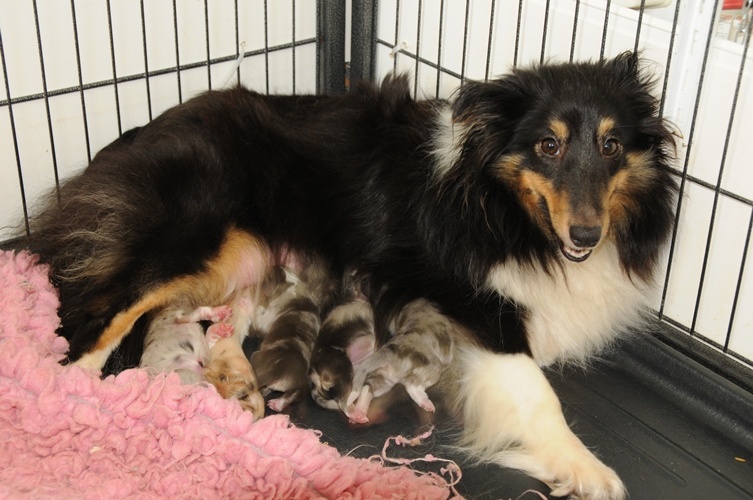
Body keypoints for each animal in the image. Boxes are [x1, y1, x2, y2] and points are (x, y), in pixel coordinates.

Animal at [27, 51, 676, 500]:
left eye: (612, 145)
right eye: (547, 145)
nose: (586, 236)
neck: (502, 206)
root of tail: (133, 138)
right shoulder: (474, 305)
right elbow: (538, 394)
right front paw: (589, 469)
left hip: (244, 258)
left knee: (211, 317)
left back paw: (237, 381)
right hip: (196, 236)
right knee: (100, 320)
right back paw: (73, 397)